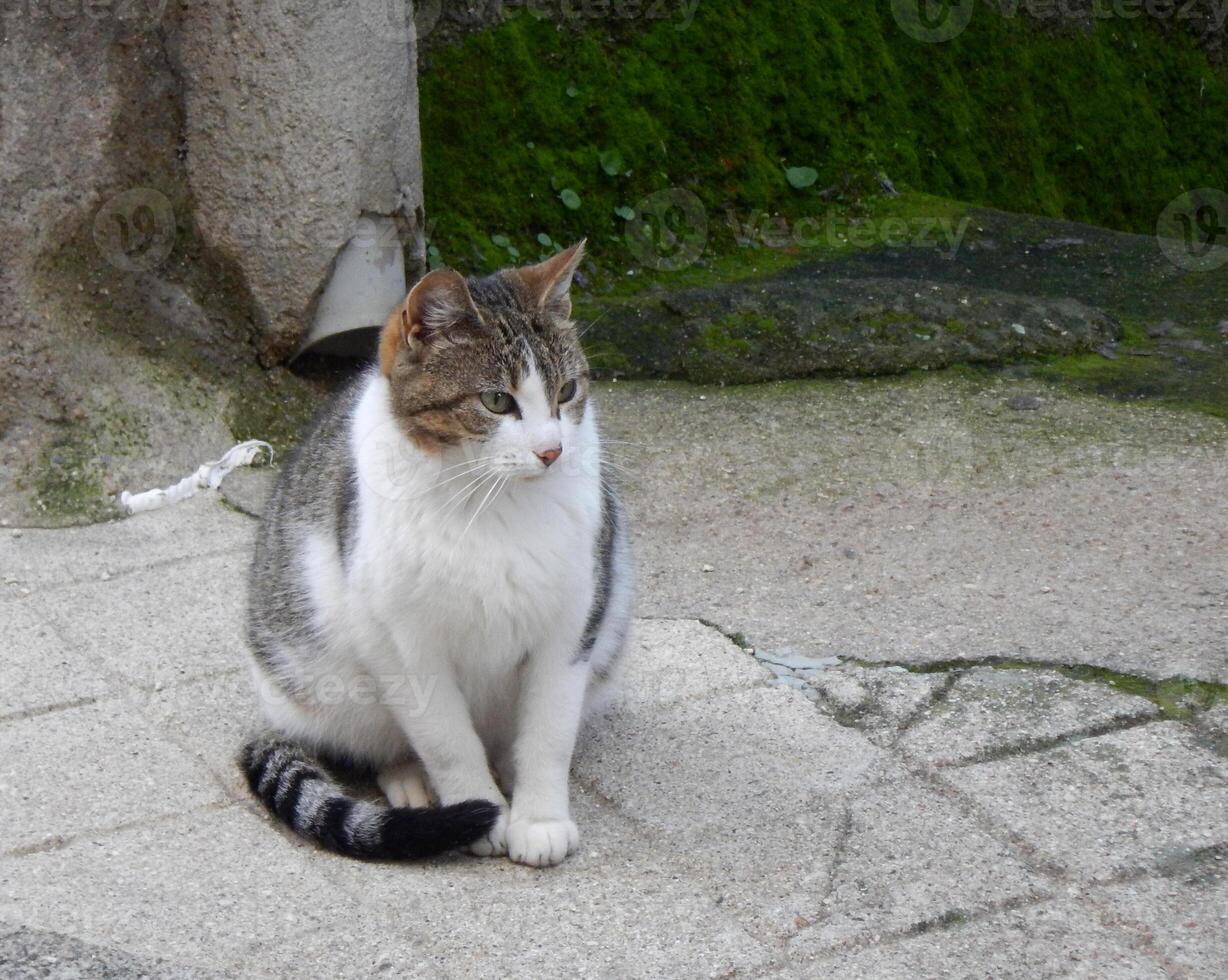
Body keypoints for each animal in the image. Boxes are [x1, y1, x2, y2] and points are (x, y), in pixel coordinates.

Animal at [237, 243, 633, 869]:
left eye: (567, 392)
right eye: (496, 400)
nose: (551, 451)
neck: (493, 504)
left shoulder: (574, 620)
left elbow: (548, 730)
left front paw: (540, 818)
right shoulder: (403, 641)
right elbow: (446, 738)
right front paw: (480, 811)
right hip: (326, 678)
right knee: (382, 740)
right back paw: (411, 783)